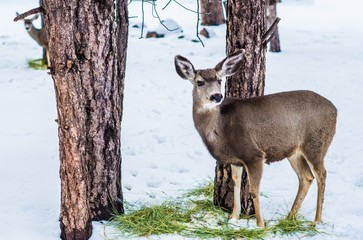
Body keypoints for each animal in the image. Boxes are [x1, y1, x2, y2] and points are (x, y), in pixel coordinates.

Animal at [175, 50, 336, 227]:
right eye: (199, 82)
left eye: (219, 80)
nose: (217, 96)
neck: (221, 130)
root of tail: (335, 110)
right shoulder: (235, 159)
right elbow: (236, 183)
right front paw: (233, 217)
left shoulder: (253, 154)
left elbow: (253, 190)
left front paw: (260, 225)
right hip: (294, 151)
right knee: (306, 177)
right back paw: (289, 218)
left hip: (316, 142)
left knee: (322, 175)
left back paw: (317, 220)